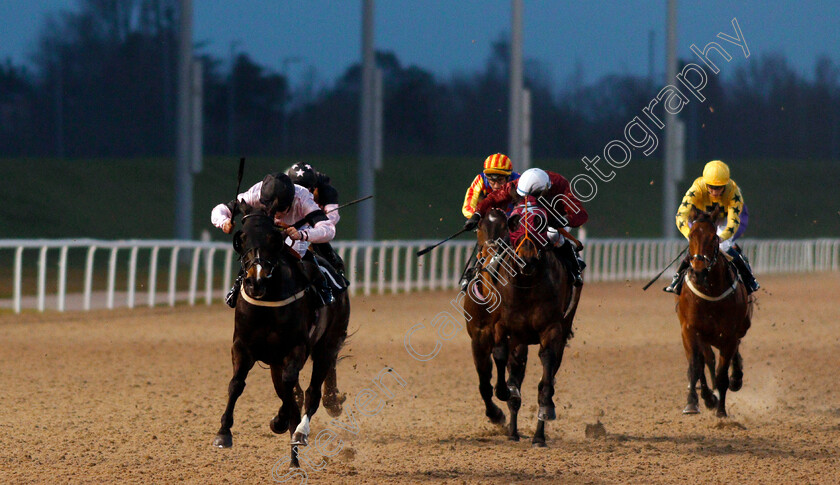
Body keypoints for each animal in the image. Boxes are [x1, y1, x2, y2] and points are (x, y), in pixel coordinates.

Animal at [217, 202, 352, 466]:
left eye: (274, 238)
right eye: (242, 237)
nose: (255, 282)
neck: (268, 304)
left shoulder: (296, 349)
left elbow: (292, 388)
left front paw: (289, 424)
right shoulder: (243, 346)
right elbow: (237, 384)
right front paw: (224, 433)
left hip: (327, 346)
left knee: (311, 393)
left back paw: (300, 435)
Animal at [680, 206, 752, 414]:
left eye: (714, 237)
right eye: (691, 236)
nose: (699, 272)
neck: (710, 291)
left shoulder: (729, 334)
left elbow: (722, 372)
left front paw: (721, 409)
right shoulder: (691, 330)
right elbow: (697, 365)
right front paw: (697, 400)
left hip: (742, 326)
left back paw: (735, 379)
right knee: (707, 360)